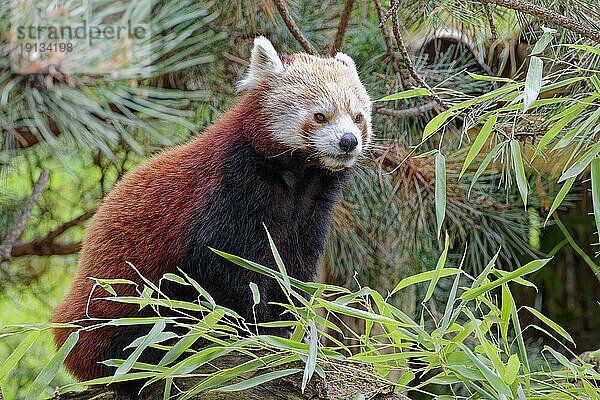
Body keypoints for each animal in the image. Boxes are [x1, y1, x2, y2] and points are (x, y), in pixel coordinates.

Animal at [51, 36, 370, 388]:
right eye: (320, 116)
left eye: (357, 116)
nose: (348, 141)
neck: (295, 178)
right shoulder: (229, 192)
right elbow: (227, 270)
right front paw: (255, 327)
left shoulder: (310, 211)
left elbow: (293, 269)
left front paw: (291, 325)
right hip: (114, 300)